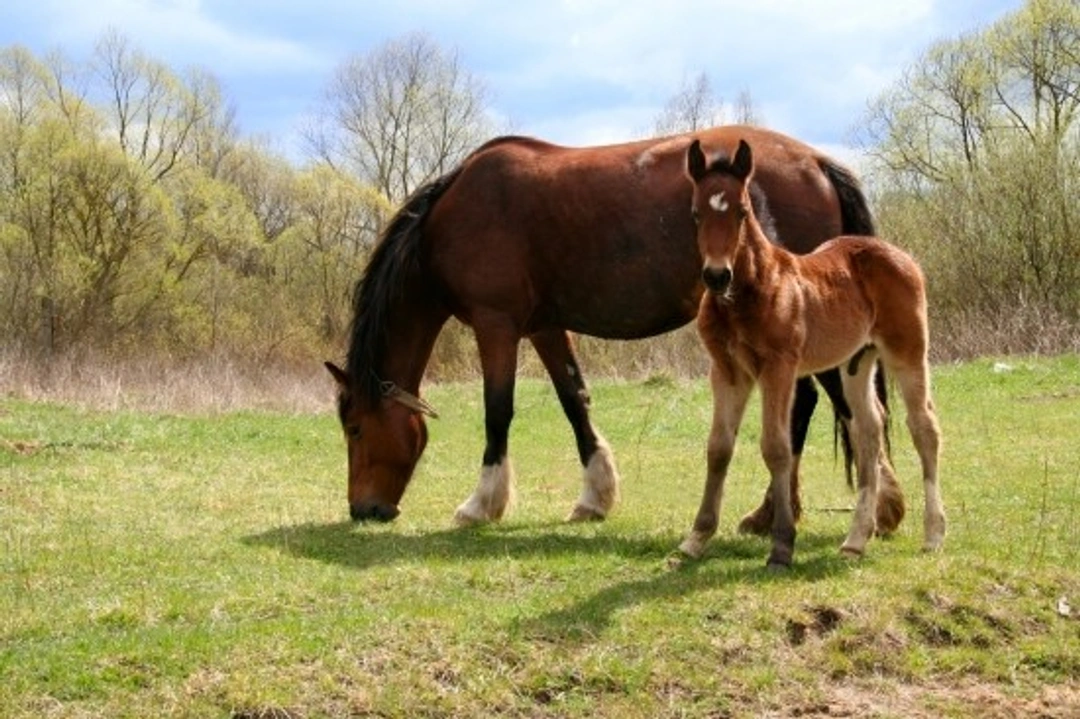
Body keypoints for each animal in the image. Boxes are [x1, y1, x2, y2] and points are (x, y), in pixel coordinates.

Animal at [324, 125, 907, 529]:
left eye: (354, 428)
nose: (364, 509)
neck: (451, 216)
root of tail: (817, 162)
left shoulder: (497, 326)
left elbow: (498, 412)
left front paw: (481, 503)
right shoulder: (544, 328)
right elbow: (574, 400)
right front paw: (594, 496)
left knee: (831, 406)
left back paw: (869, 508)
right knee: (808, 404)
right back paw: (778, 514)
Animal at [679, 138, 945, 568]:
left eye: (742, 211)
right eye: (695, 213)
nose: (717, 276)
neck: (749, 292)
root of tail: (898, 254)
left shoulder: (779, 368)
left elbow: (776, 447)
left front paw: (781, 546)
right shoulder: (727, 371)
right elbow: (718, 448)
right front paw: (696, 538)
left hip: (907, 350)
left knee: (923, 426)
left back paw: (934, 534)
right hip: (856, 363)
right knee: (868, 429)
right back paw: (856, 540)